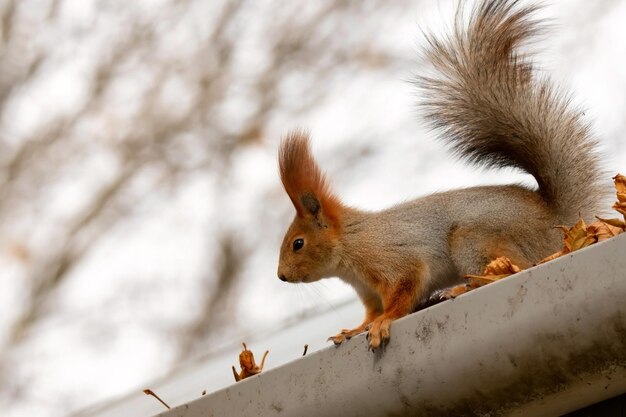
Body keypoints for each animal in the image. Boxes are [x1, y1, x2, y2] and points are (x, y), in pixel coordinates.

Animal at [276, 0, 604, 352]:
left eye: (297, 243)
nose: (281, 276)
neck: (351, 243)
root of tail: (558, 223)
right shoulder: (368, 292)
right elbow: (370, 312)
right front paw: (353, 329)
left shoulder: (393, 259)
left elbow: (403, 291)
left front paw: (383, 322)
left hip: (474, 240)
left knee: (512, 269)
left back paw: (459, 289)